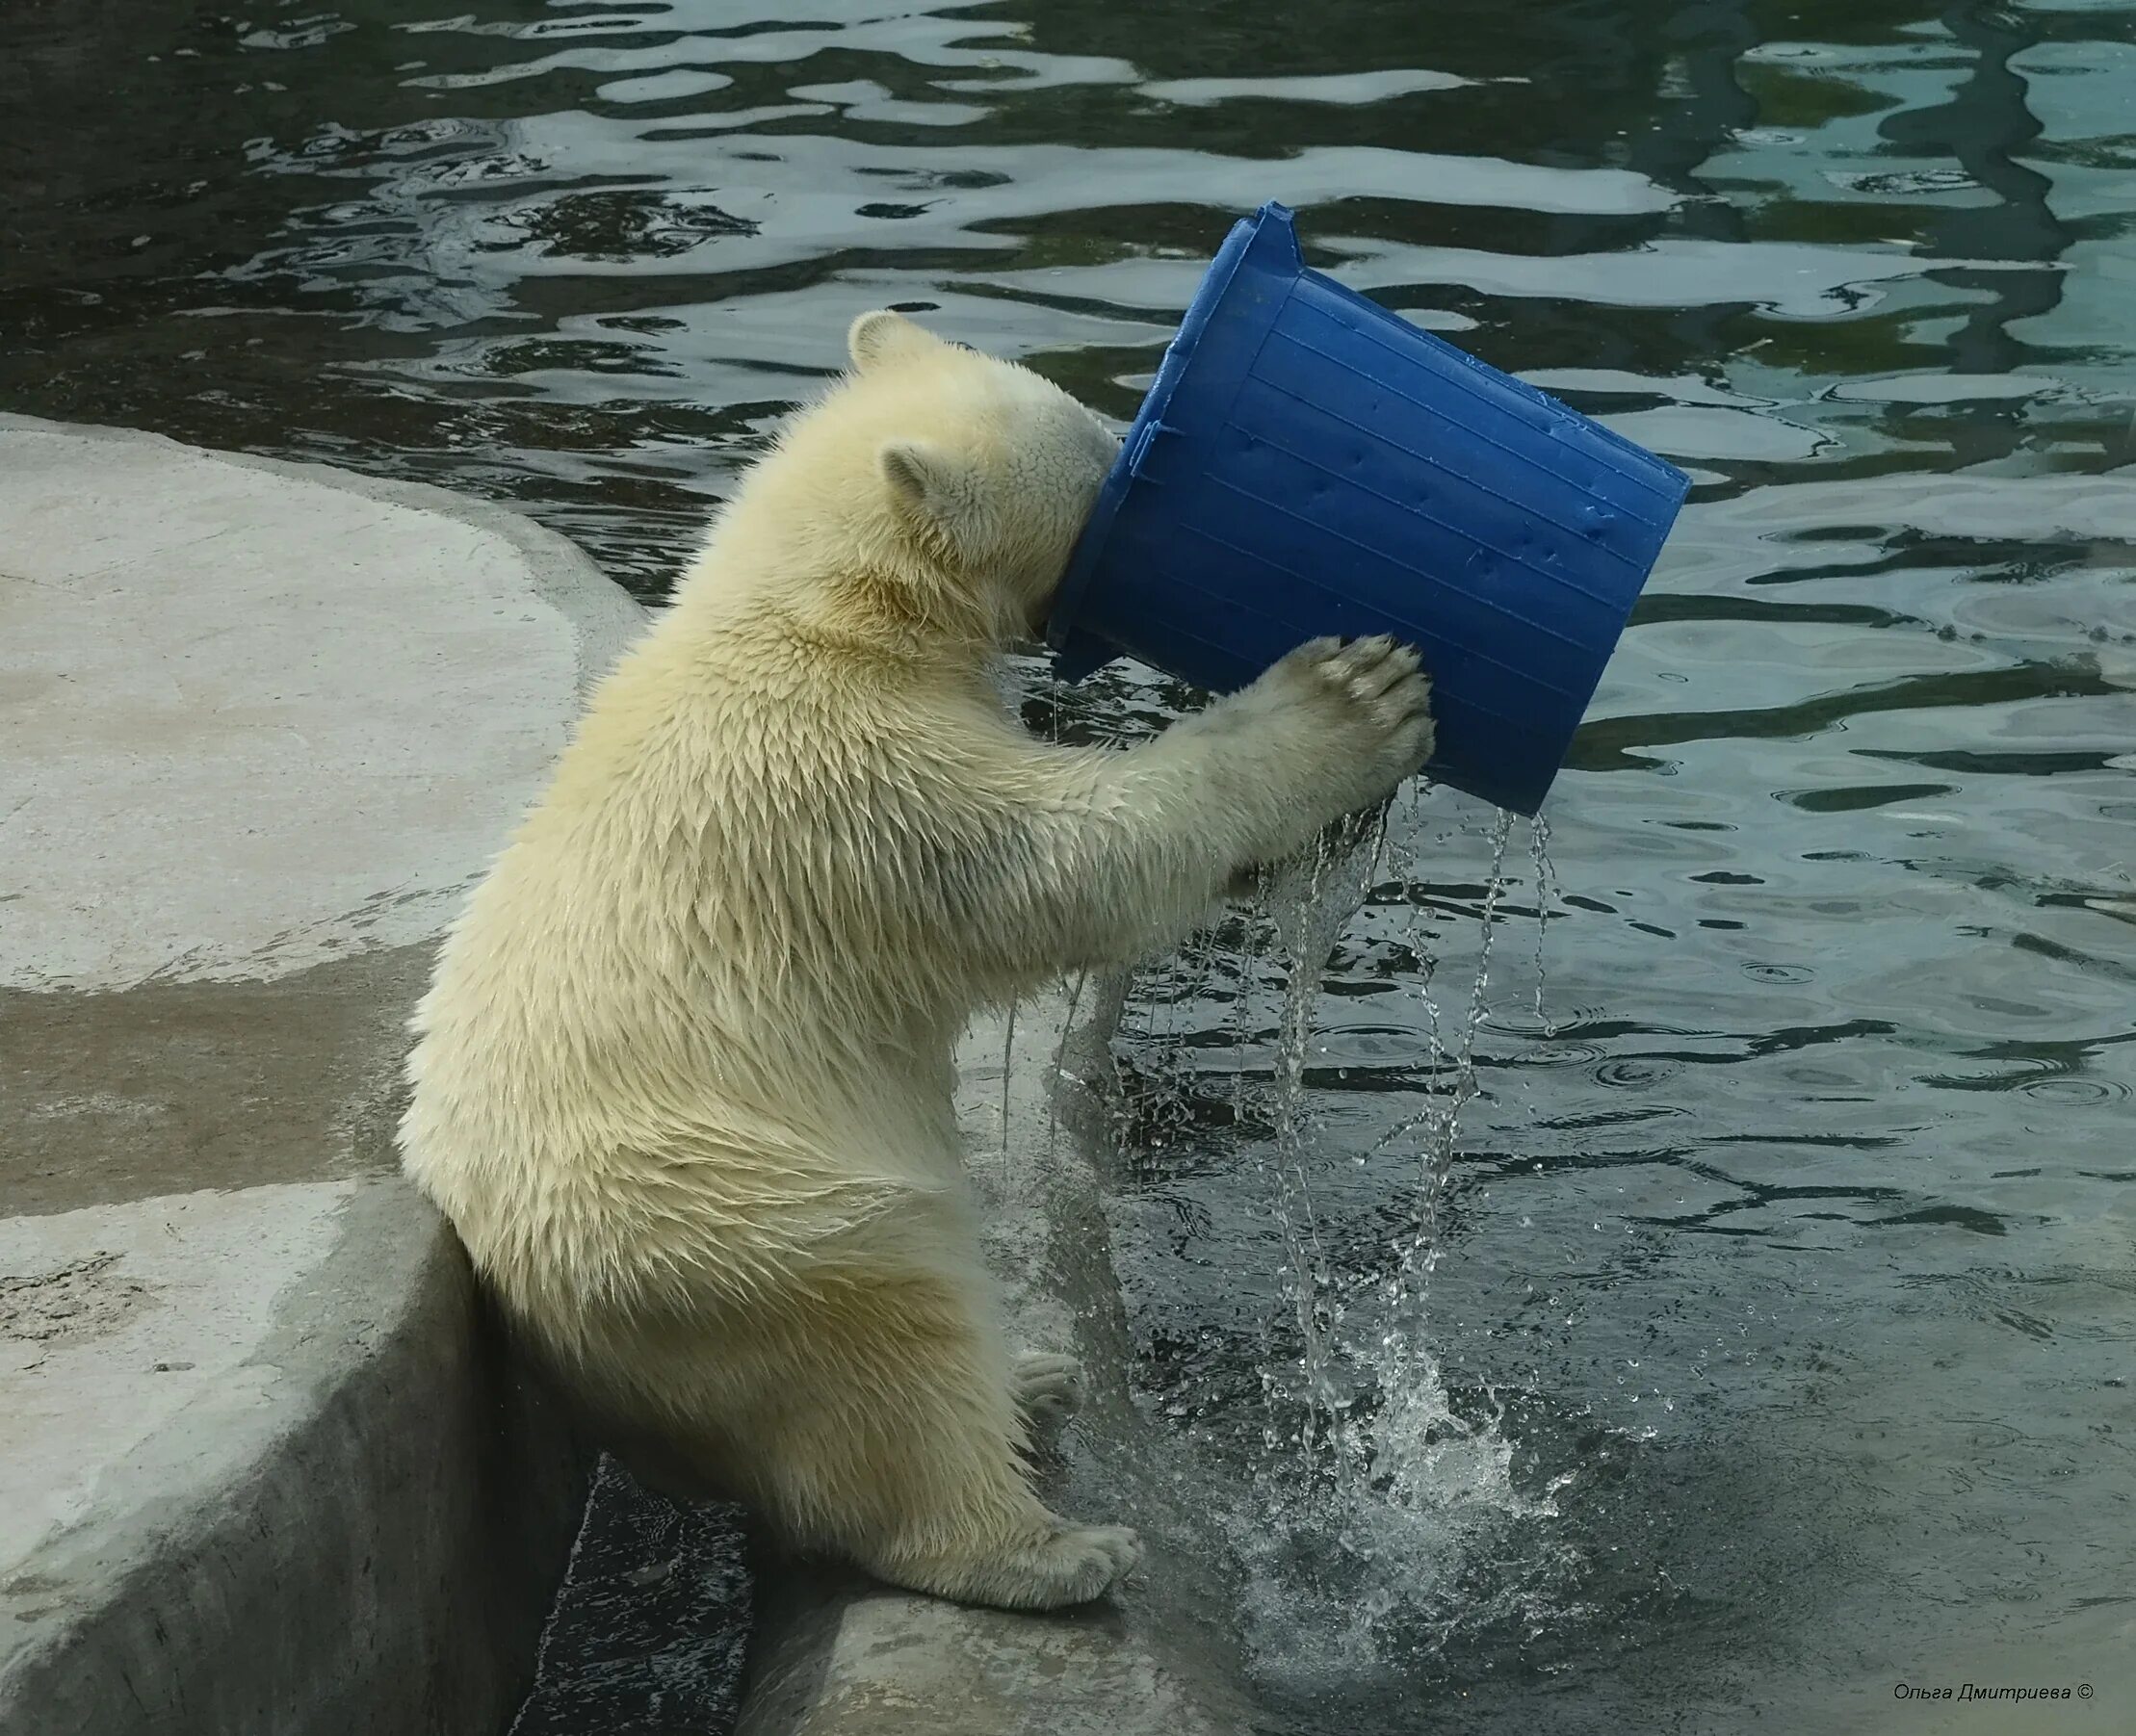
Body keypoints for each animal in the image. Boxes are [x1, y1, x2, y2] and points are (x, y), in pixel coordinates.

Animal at [401, 311, 1435, 1614]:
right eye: (1101, 454)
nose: (1141, 443)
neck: (815, 613)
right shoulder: (864, 785)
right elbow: (1082, 860)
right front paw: (1355, 695)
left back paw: (1032, 1373)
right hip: (740, 1227)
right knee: (891, 1352)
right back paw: (1048, 1543)